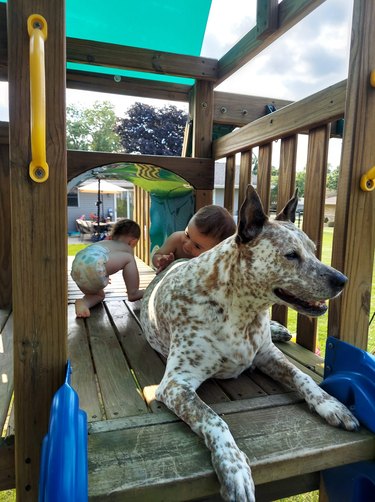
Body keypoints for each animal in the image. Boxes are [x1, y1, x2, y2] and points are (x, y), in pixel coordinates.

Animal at [140, 185, 360, 502]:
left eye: (314, 250)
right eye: (291, 255)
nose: (342, 280)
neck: (241, 310)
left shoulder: (267, 356)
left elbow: (304, 377)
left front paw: (330, 404)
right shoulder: (175, 384)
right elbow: (213, 419)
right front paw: (233, 467)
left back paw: (279, 329)